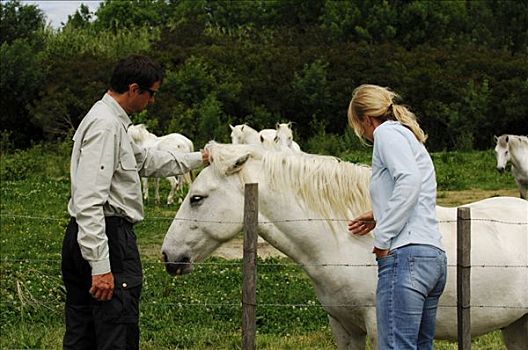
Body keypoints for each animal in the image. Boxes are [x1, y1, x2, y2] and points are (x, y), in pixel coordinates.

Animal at [162, 143, 528, 350]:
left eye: (197, 198)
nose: (168, 257)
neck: (347, 241)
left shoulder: (380, 328)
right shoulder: (344, 328)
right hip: (515, 329)